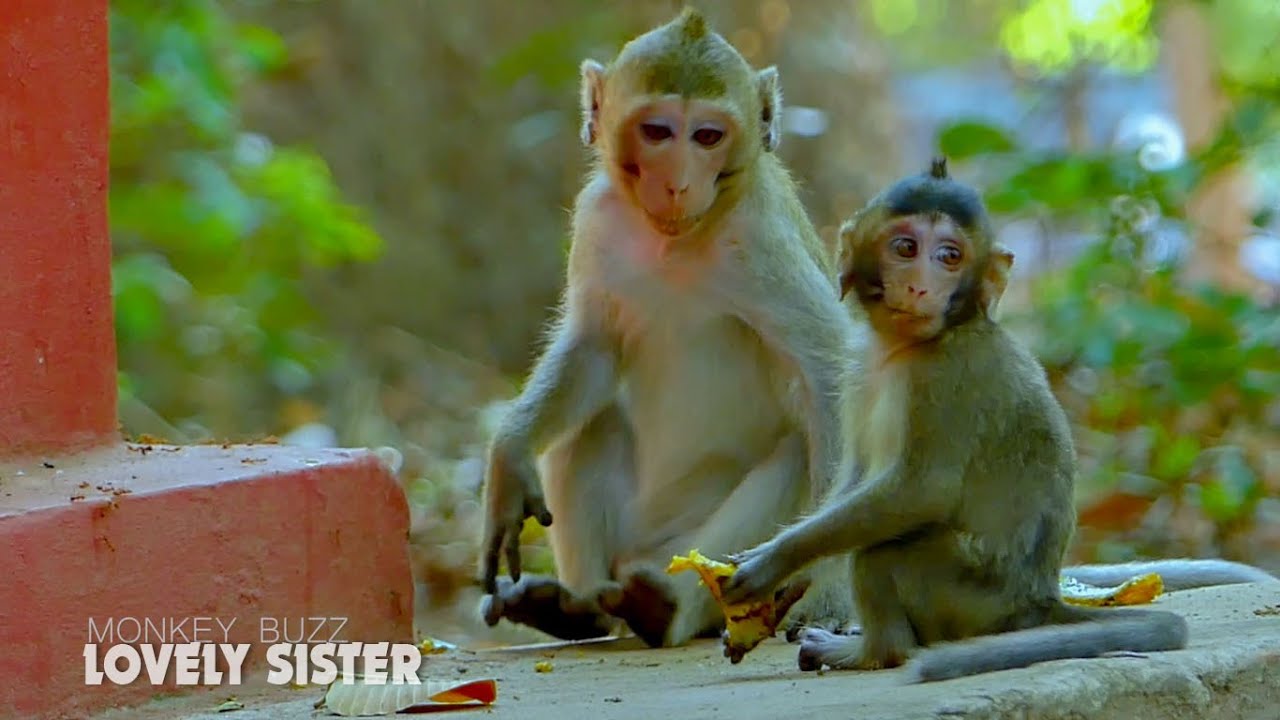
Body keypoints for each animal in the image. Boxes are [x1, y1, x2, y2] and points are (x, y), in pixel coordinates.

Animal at [478, 8, 861, 649]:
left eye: (707, 137)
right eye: (657, 131)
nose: (679, 182)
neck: (676, 241)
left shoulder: (763, 238)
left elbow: (829, 370)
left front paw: (830, 589)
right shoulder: (598, 217)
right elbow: (593, 346)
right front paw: (509, 455)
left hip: (695, 546)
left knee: (794, 456)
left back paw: (669, 610)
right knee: (591, 423)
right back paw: (582, 610)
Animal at [720, 157, 1278, 681]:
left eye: (950, 256)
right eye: (905, 248)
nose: (920, 288)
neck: (909, 346)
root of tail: (1038, 602)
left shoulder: (945, 378)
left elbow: (922, 490)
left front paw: (773, 562)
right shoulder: (855, 369)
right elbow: (855, 475)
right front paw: (793, 582)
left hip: (971, 597)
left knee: (886, 548)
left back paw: (874, 652)